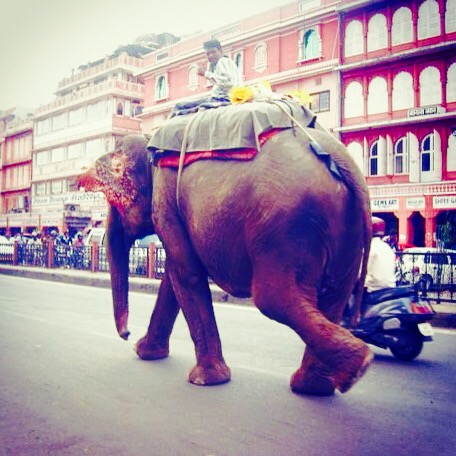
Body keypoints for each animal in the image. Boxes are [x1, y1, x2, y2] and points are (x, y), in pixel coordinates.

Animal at [78, 120, 372, 396]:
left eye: (114, 203)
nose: (126, 335)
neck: (150, 144)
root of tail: (341, 160)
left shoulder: (165, 202)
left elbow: (186, 273)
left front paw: (205, 379)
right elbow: (175, 276)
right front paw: (146, 353)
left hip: (286, 227)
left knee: (274, 299)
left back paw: (358, 364)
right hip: (342, 231)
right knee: (334, 296)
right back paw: (314, 385)